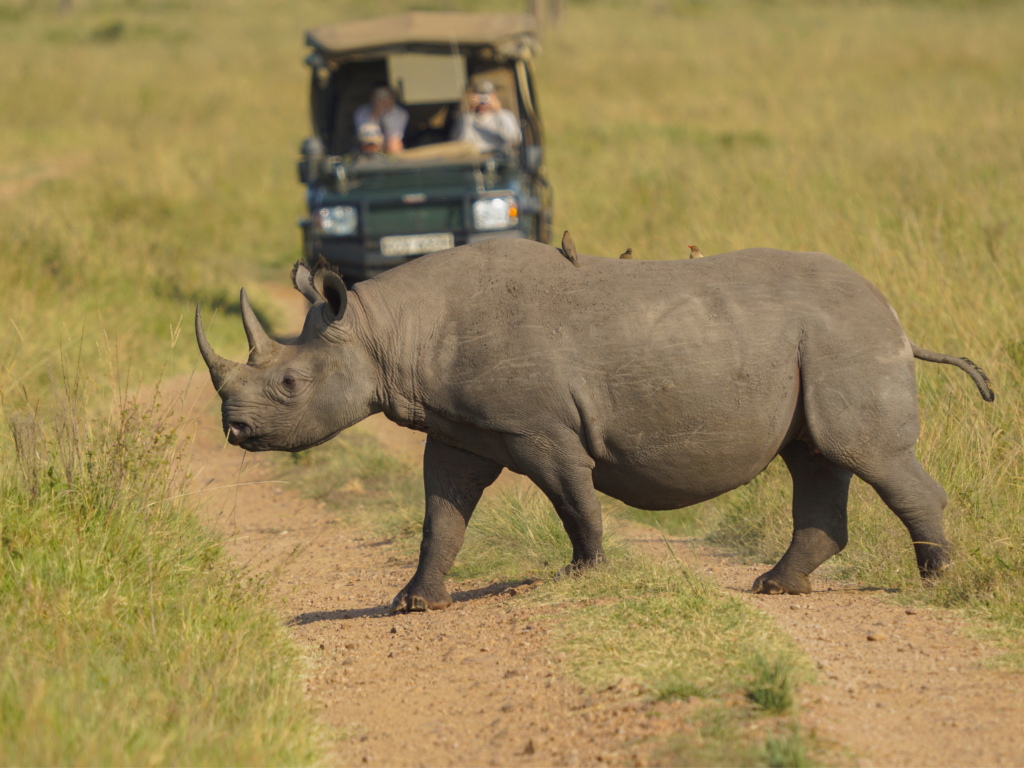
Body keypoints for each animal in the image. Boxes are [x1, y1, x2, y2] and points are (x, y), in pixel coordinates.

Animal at [193, 240, 991, 614]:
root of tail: (896, 317)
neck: (385, 331)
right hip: (818, 343)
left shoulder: (539, 428)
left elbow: (572, 501)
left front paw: (583, 573)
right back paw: (775, 588)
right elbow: (440, 518)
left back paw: (936, 582)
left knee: (866, 453)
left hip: (846, 337)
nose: (235, 432)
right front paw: (415, 602)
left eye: (289, 386)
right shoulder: (455, 431)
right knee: (814, 456)